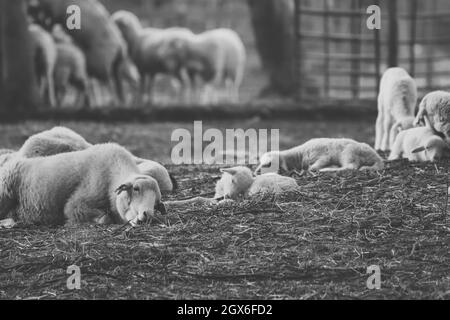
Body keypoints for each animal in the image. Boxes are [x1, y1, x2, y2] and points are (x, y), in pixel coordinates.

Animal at [253, 138, 384, 174]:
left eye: (269, 164)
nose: (256, 172)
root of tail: (377, 157)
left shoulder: (323, 156)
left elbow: (315, 166)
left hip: (349, 152)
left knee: (351, 166)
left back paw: (326, 169)